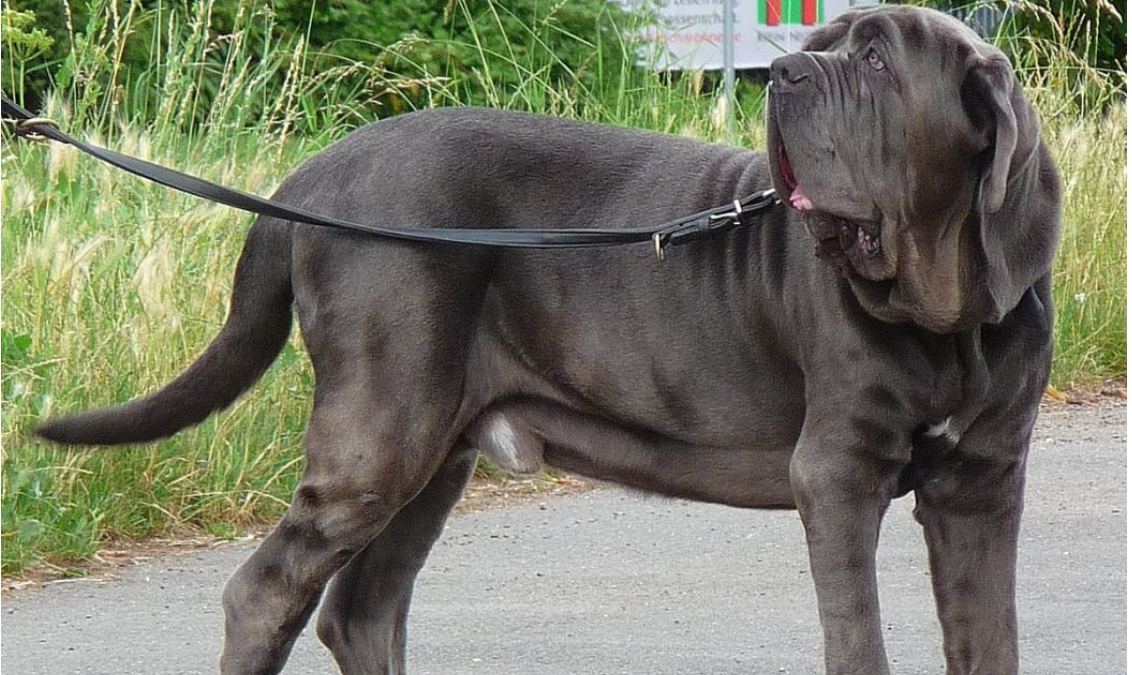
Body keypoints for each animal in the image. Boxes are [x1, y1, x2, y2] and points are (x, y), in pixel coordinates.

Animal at [37, 6, 1059, 675]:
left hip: (435, 449)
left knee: (361, 609)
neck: (947, 314)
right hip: (381, 433)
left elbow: (992, 635)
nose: (784, 75)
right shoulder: (839, 471)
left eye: (878, 62)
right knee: (265, 592)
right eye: (819, 48)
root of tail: (313, 178)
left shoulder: (983, 484)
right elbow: (858, 635)